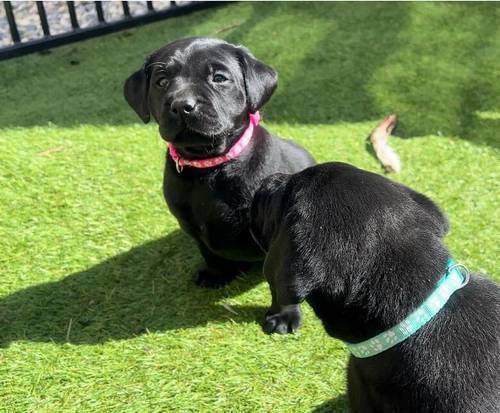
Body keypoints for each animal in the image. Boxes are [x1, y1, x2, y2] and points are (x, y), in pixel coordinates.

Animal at [123, 38, 314, 288]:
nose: (182, 105)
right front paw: (216, 274)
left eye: (219, 78)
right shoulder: (191, 224)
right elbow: (209, 253)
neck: (211, 167)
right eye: (161, 82)